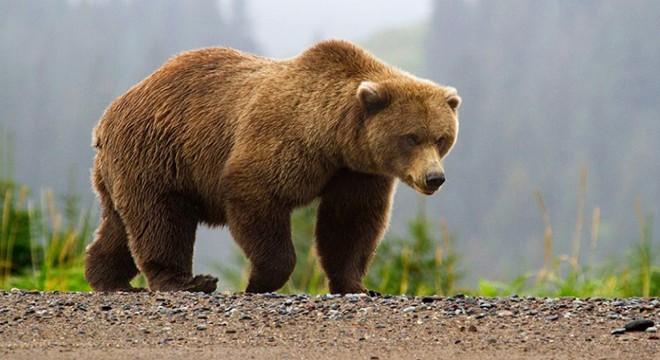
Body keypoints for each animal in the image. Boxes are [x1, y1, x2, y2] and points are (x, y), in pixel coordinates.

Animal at [85, 38, 462, 294]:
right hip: (159, 153)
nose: (434, 178)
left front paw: (356, 284)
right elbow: (256, 194)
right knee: (161, 219)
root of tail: (107, 116)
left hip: (125, 168)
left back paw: (107, 278)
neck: (333, 138)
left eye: (442, 138)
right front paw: (259, 280)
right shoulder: (283, 141)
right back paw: (187, 282)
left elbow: (350, 222)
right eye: (412, 137)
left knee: (120, 225)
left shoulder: (356, 171)